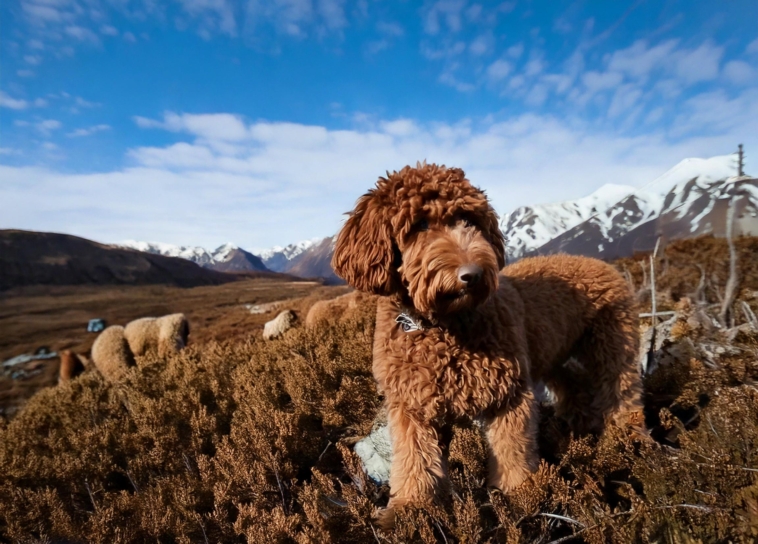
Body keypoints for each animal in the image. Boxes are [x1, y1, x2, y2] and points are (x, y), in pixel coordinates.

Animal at [334, 163, 648, 528]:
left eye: (469, 219)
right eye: (419, 225)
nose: (472, 274)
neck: (443, 327)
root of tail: (604, 265)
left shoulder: (508, 396)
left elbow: (512, 452)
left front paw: (520, 498)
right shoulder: (411, 408)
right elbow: (414, 461)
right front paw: (408, 509)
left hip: (612, 347)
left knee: (622, 394)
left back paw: (629, 441)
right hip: (551, 356)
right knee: (573, 385)